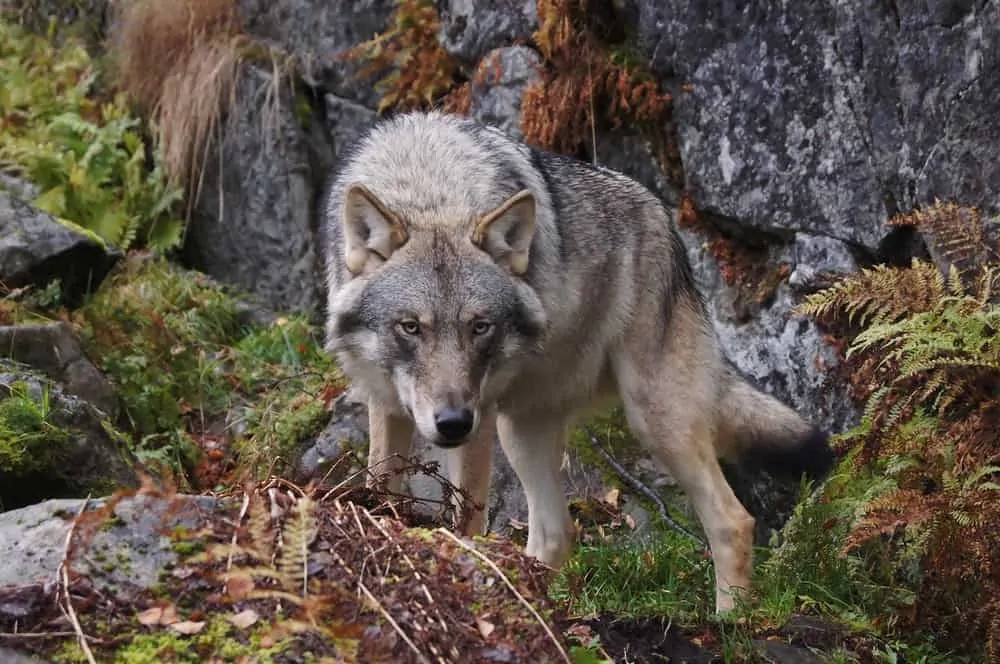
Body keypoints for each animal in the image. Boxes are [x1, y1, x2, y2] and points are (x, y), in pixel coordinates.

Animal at [320, 109, 836, 612]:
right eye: (411, 327)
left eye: (480, 327)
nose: (452, 423)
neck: (429, 186)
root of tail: (664, 218)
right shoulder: (387, 402)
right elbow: (381, 480)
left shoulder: (478, 421)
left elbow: (464, 524)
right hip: (522, 429)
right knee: (558, 533)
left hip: (650, 419)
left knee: (733, 521)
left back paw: (732, 624)